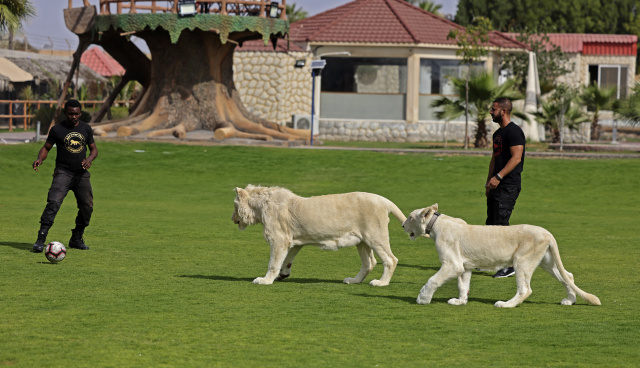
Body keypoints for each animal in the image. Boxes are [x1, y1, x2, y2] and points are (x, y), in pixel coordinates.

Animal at [234, 185, 404, 286]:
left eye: (234, 206)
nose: (232, 219)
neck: (260, 207)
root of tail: (384, 200)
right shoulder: (294, 240)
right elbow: (288, 258)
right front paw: (283, 274)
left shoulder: (279, 239)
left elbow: (273, 262)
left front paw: (265, 280)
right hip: (362, 242)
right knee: (369, 263)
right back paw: (353, 280)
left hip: (375, 236)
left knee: (391, 259)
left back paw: (381, 282)